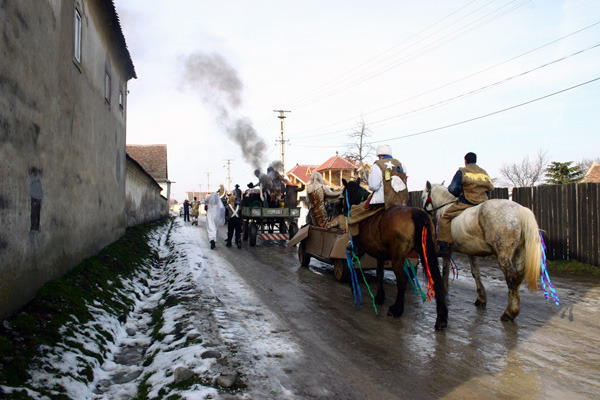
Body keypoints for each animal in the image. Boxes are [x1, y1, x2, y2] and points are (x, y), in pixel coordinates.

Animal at [340, 180, 448, 330]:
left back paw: (397, 309)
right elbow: (380, 273)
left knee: (402, 281)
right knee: (436, 278)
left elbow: (356, 265)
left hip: (397, 258)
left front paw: (354, 286)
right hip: (425, 252)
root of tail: (415, 211)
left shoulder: (360, 249)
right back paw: (441, 317)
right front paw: (380, 296)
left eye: (343, 194)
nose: (344, 210)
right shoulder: (380, 254)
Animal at [422, 181, 544, 322]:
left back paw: (509, 312)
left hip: (503, 255)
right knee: (518, 277)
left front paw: (444, 291)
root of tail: (519, 210)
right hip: (520, 253)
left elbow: (446, 271)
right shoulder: (470, 250)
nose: (424, 211)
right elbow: (475, 272)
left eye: (424, 196)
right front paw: (481, 298)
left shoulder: (448, 251)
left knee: (511, 278)